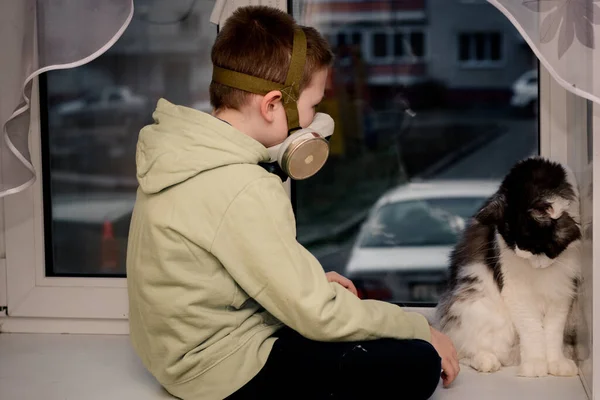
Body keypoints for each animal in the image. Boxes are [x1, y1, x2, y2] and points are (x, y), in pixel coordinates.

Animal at [434, 157, 584, 378]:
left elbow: (552, 333)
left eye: (537, 247)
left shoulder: (560, 294)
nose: (534, 262)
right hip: (478, 309)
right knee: (465, 351)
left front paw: (556, 363)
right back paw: (487, 361)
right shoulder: (517, 294)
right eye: (513, 245)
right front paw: (535, 365)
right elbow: (533, 331)